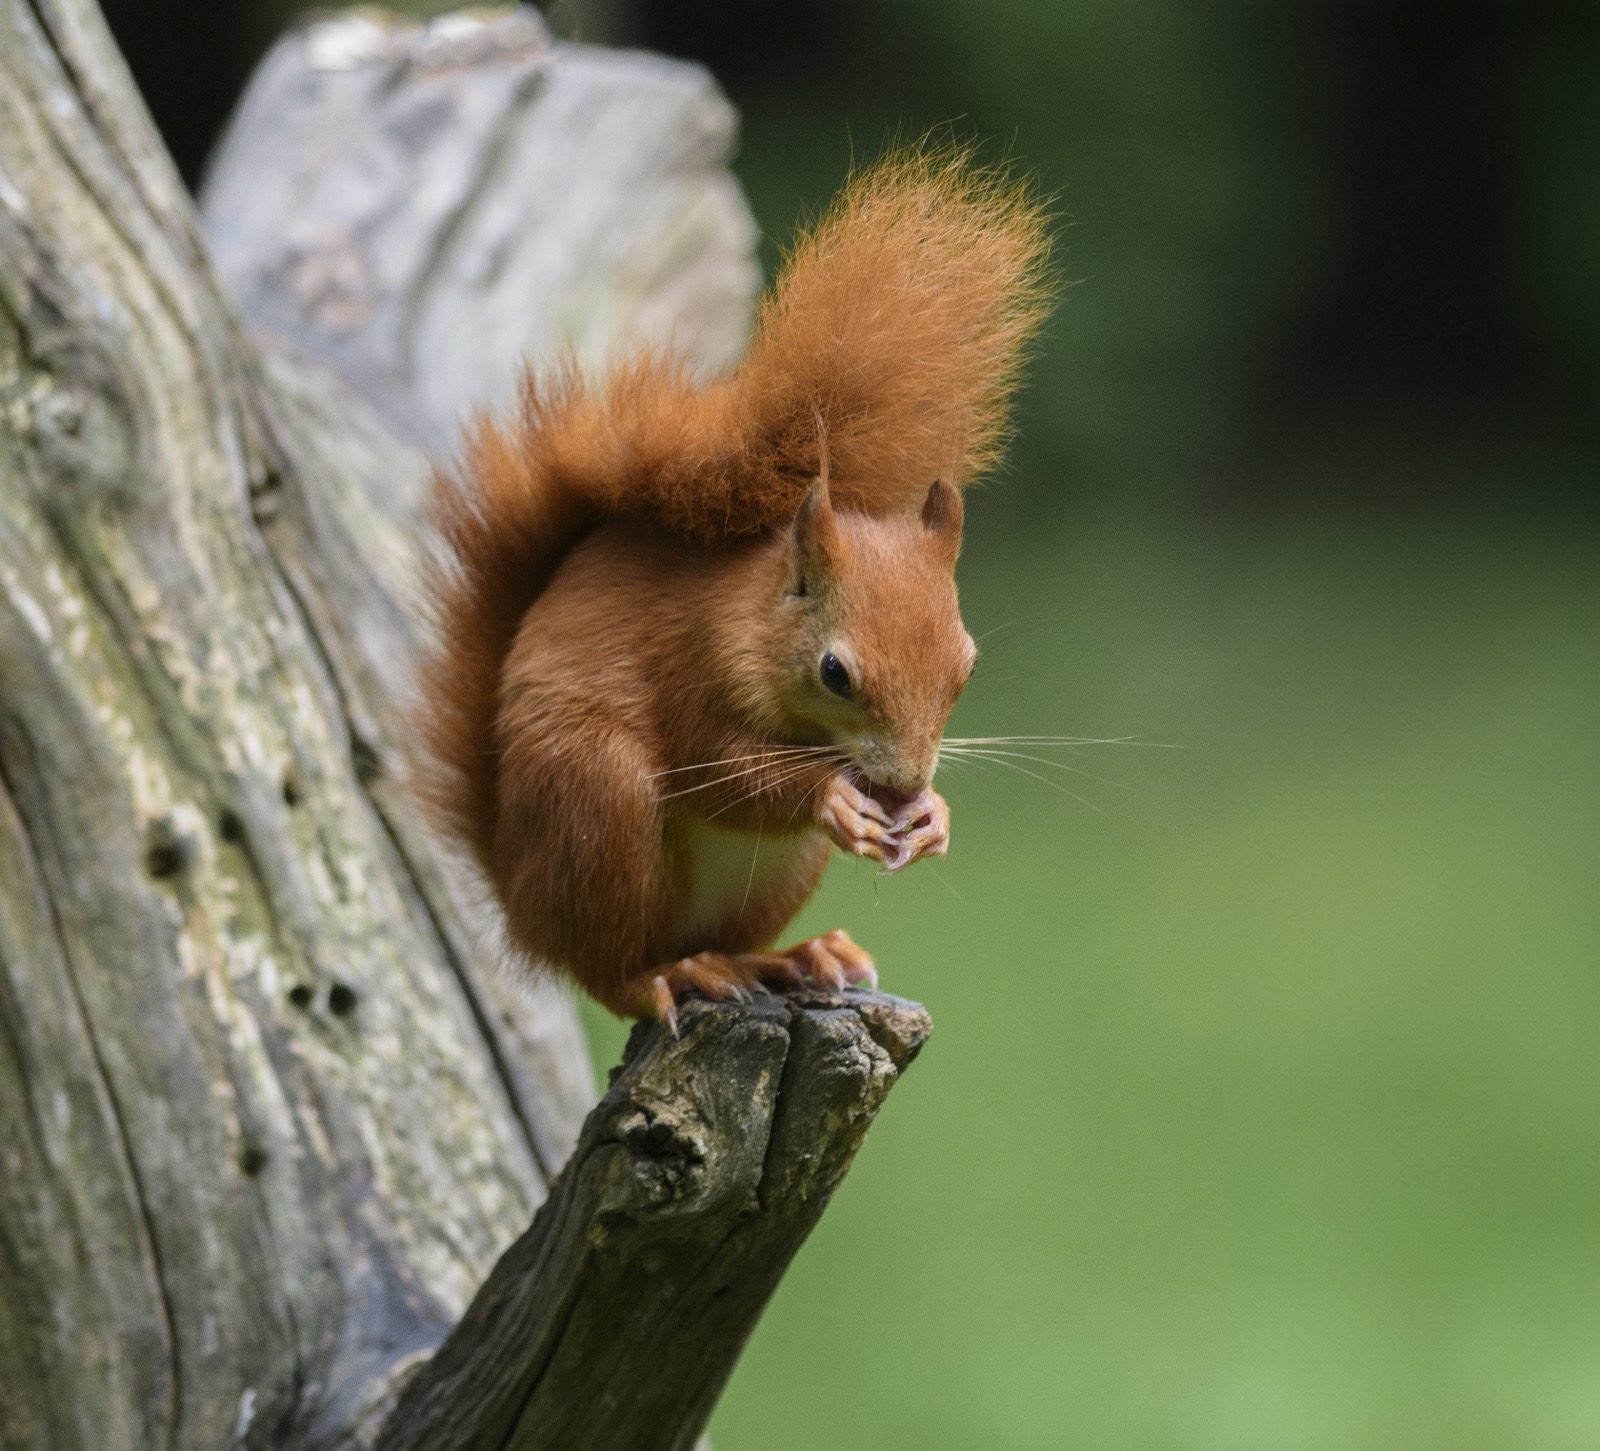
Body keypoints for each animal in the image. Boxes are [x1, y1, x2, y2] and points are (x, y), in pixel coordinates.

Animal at [415, 146, 1052, 1028]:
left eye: (968, 667)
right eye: (834, 672)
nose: (902, 784)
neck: (753, 614)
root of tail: (517, 894)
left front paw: (933, 818)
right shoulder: (694, 665)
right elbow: (727, 770)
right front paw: (833, 795)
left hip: (773, 875)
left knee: (724, 939)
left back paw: (790, 956)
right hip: (595, 799)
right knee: (608, 969)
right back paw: (668, 975)